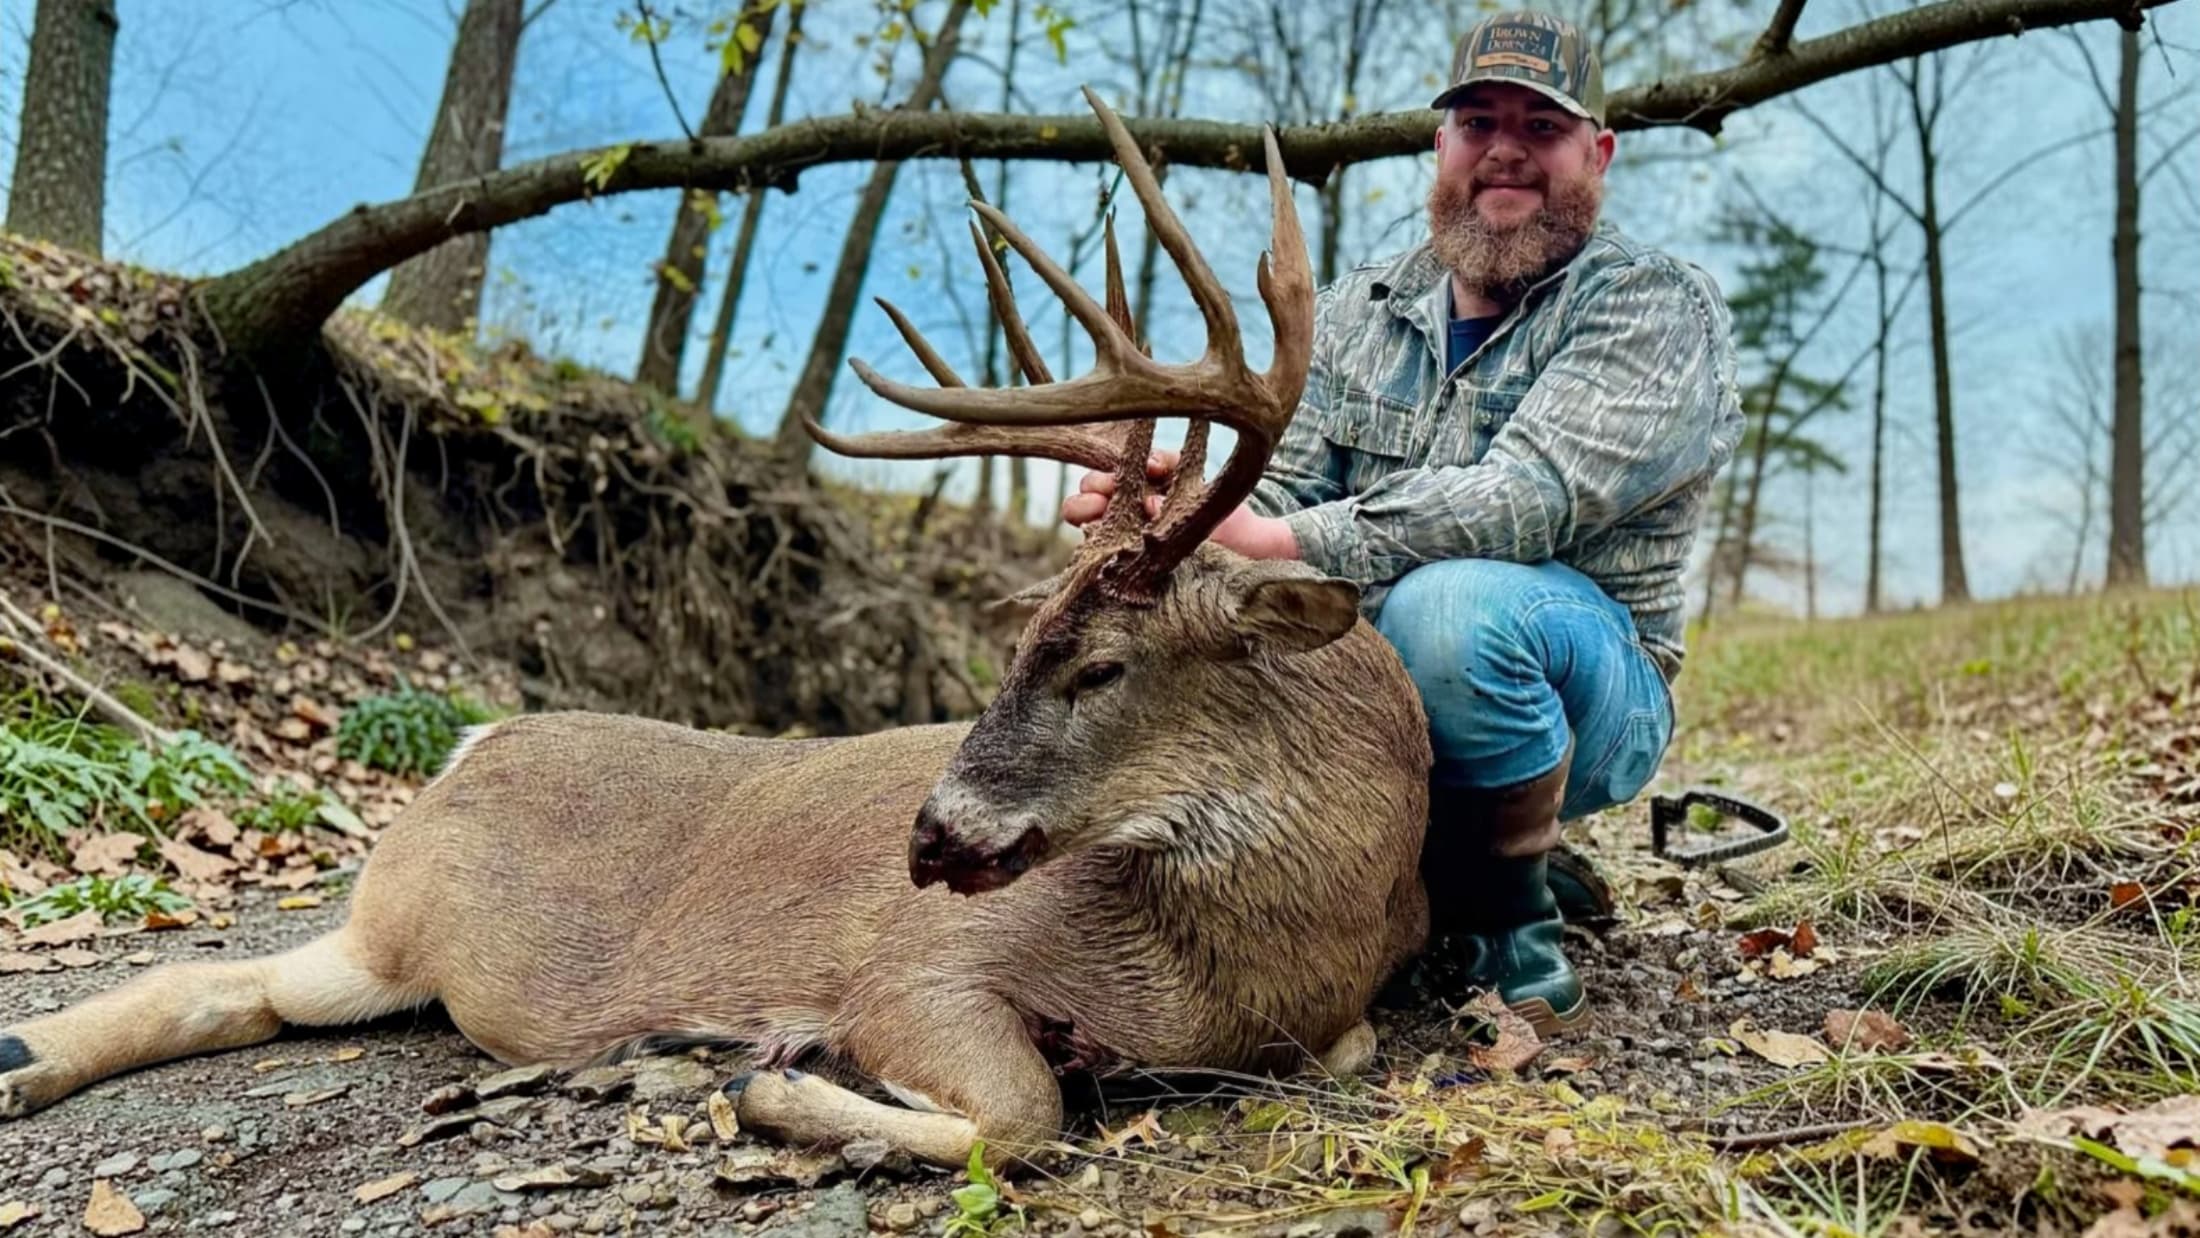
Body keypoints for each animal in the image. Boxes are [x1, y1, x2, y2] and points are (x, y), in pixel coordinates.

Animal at [0, 89, 1434, 1171]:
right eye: (1018, 641)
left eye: (1099, 662)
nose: (924, 836)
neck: (1251, 962)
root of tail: (474, 741)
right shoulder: (920, 967)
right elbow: (1018, 1114)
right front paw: (777, 1080)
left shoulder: (1322, 1022)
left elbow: (1337, 1052)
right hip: (403, 917)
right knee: (223, 979)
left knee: (233, 987)